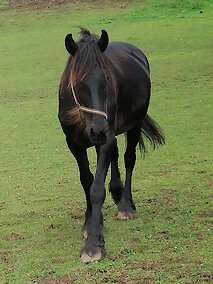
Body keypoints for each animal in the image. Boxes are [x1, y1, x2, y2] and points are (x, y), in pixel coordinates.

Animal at [58, 27, 165, 262]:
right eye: (77, 83)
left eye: (106, 79)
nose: (98, 130)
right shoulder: (74, 145)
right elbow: (86, 181)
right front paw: (90, 222)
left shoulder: (104, 139)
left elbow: (97, 188)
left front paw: (93, 245)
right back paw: (117, 191)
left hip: (133, 124)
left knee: (129, 158)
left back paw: (125, 204)